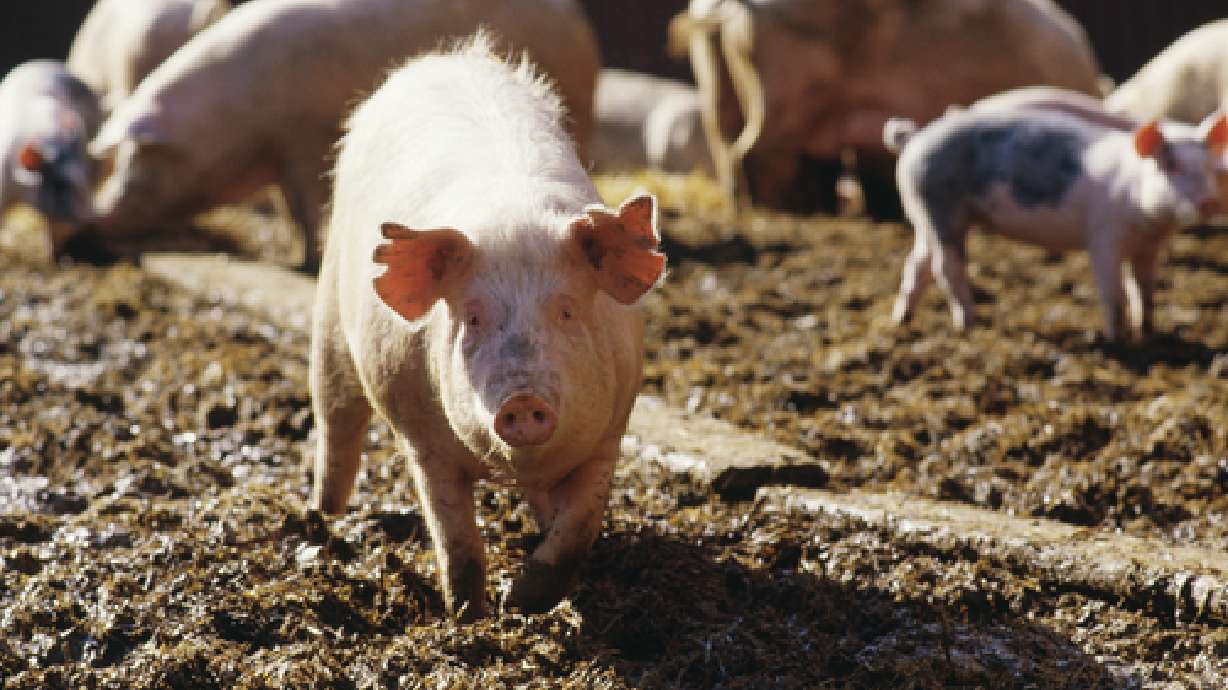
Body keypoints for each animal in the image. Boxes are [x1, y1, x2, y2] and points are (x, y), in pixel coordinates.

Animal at [89, 0, 600, 272]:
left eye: (141, 165)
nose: (95, 221)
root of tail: (577, 20)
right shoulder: (280, 152)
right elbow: (289, 208)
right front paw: (294, 255)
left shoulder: (302, 138)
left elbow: (308, 205)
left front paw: (307, 264)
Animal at [311, 36, 665, 619]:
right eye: (473, 317)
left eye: (567, 310)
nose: (521, 399)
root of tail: (447, 58)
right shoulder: (423, 441)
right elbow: (455, 539)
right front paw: (471, 616)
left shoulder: (612, 431)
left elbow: (579, 527)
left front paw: (523, 601)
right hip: (331, 317)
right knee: (336, 422)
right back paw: (322, 522)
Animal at [886, 108, 1228, 341]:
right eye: (1171, 165)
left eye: (1210, 167)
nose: (1210, 202)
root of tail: (915, 137)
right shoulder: (1104, 238)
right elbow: (1114, 292)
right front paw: (1118, 340)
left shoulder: (1148, 247)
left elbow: (1143, 289)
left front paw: (1149, 333)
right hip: (940, 206)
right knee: (946, 267)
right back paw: (969, 324)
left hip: (925, 216)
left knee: (917, 264)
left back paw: (902, 320)